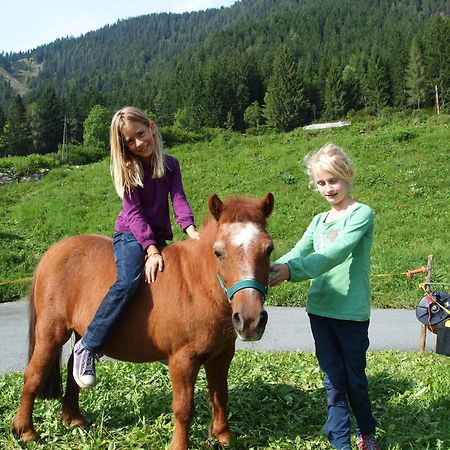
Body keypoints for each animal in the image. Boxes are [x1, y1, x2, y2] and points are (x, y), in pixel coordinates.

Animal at [13, 192, 274, 450]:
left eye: (268, 249)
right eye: (219, 252)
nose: (250, 319)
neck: (197, 286)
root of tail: (52, 252)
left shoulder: (221, 356)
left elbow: (220, 396)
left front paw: (222, 437)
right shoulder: (182, 361)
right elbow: (183, 408)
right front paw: (179, 445)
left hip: (81, 332)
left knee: (72, 365)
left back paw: (73, 418)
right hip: (51, 331)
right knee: (34, 374)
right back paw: (25, 430)